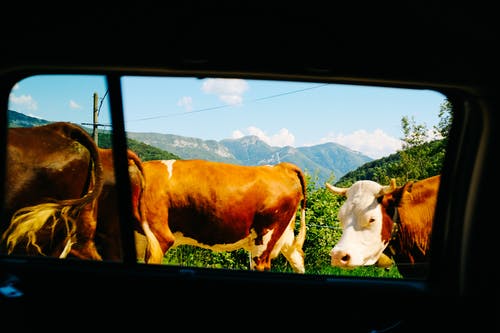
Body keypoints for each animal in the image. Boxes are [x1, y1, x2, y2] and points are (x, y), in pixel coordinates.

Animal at [139, 158, 306, 272]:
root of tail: (281, 167)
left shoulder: (158, 238)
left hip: (264, 237)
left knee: (262, 264)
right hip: (285, 234)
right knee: (297, 257)